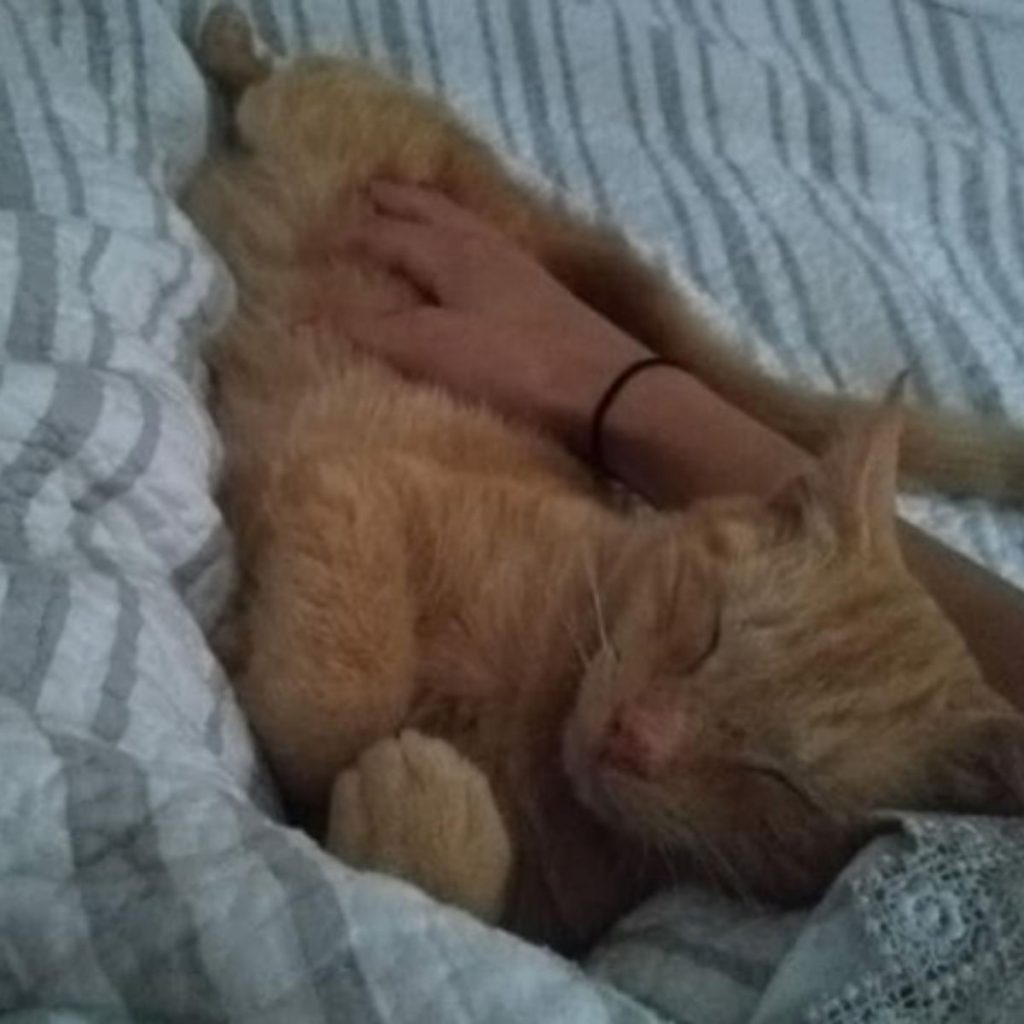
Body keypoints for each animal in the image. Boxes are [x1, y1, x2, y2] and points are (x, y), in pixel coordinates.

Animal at [182, 8, 1024, 950]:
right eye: (709, 633)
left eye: (779, 781)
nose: (635, 738)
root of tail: (530, 215)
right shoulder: (357, 481)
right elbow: (338, 706)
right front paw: (290, 683)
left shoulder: (542, 920)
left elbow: (433, 893)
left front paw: (421, 807)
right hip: (311, 107)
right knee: (266, 84)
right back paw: (230, 44)